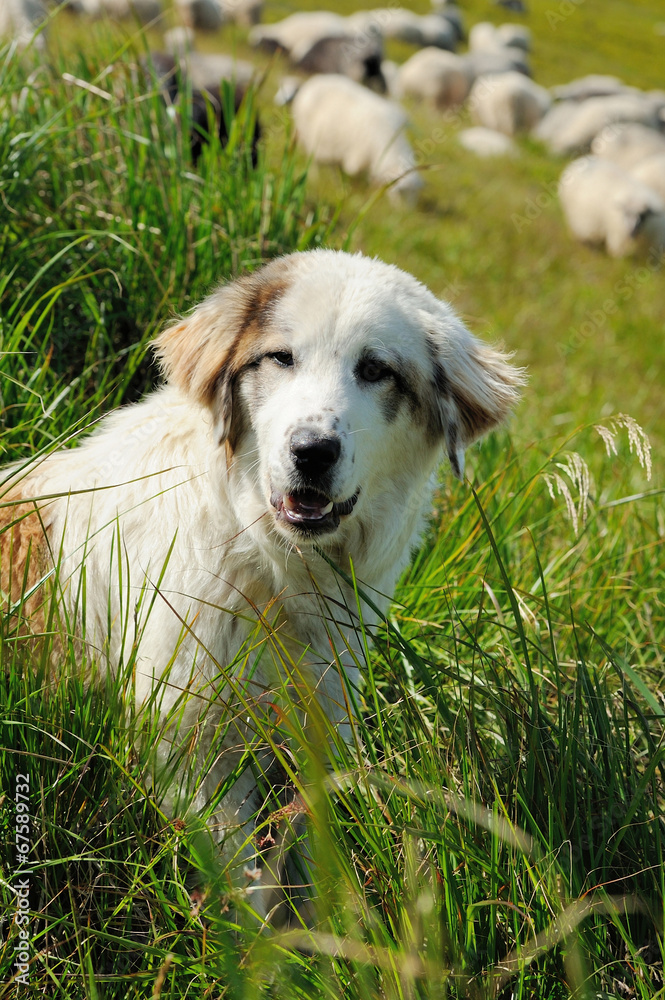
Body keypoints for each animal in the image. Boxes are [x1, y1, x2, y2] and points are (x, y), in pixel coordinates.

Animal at [292, 73, 426, 205]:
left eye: (415, 193)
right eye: (400, 192)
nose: (405, 211)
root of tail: (313, 82)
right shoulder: (358, 158)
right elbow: (354, 174)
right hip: (308, 137)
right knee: (313, 160)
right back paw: (314, 177)